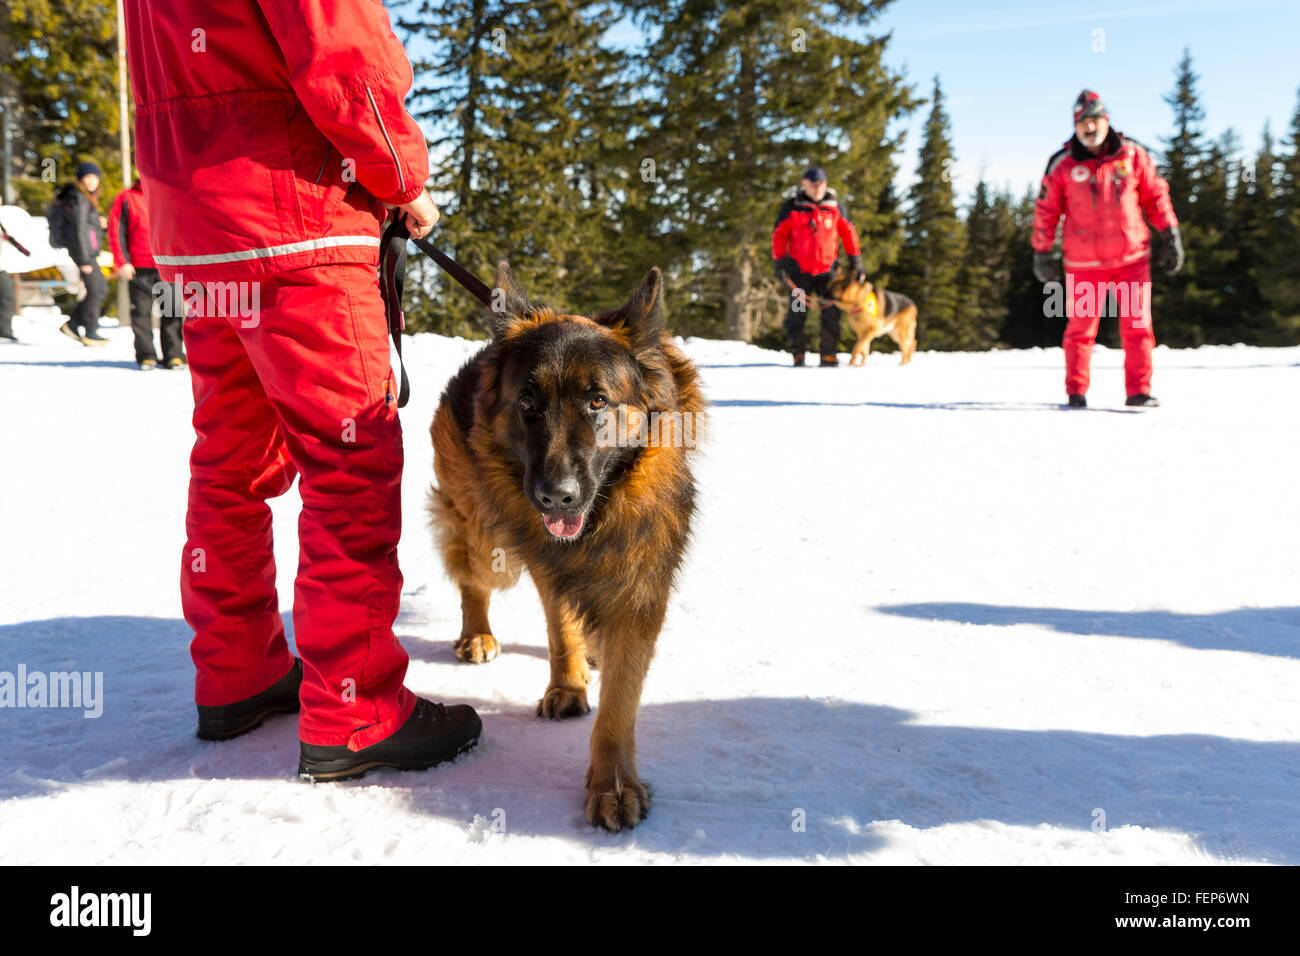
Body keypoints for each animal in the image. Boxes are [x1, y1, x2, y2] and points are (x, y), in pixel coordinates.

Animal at [428, 260, 702, 832]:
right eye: (527, 403)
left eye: (598, 401)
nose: (555, 496)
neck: (601, 513)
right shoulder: (546, 559)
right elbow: (559, 629)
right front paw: (566, 686)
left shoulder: (640, 583)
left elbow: (620, 699)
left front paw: (612, 784)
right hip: (485, 535)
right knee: (474, 580)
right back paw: (478, 634)